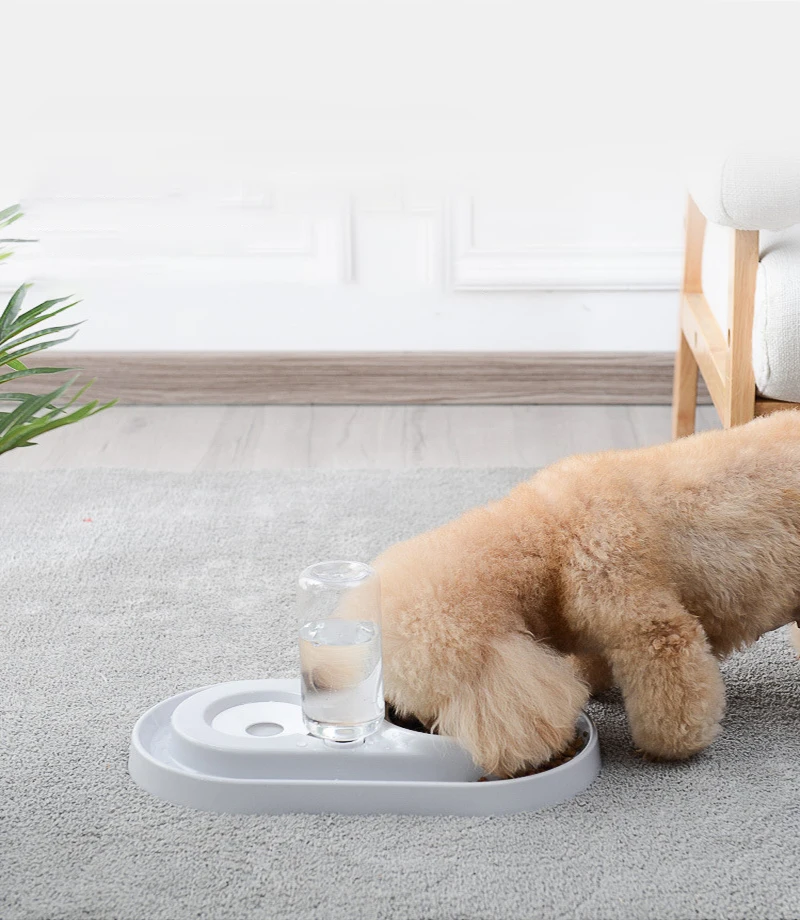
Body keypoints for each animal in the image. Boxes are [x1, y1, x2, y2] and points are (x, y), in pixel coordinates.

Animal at [371, 412, 800, 777]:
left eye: (425, 702)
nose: (403, 719)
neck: (548, 540)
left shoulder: (651, 627)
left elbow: (672, 694)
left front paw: (671, 746)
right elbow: (592, 658)